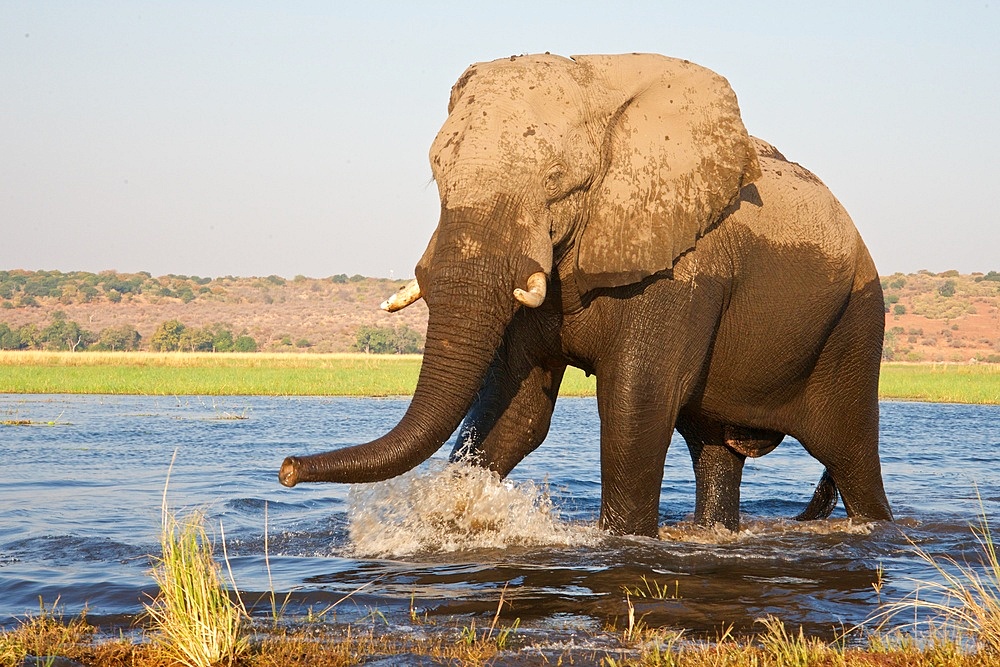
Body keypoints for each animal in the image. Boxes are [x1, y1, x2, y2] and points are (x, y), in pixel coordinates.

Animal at [280, 54, 892, 540]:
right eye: (436, 173)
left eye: (556, 179)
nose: (287, 468)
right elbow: (516, 413)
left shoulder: (680, 269)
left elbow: (633, 408)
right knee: (716, 453)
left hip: (857, 323)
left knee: (852, 457)